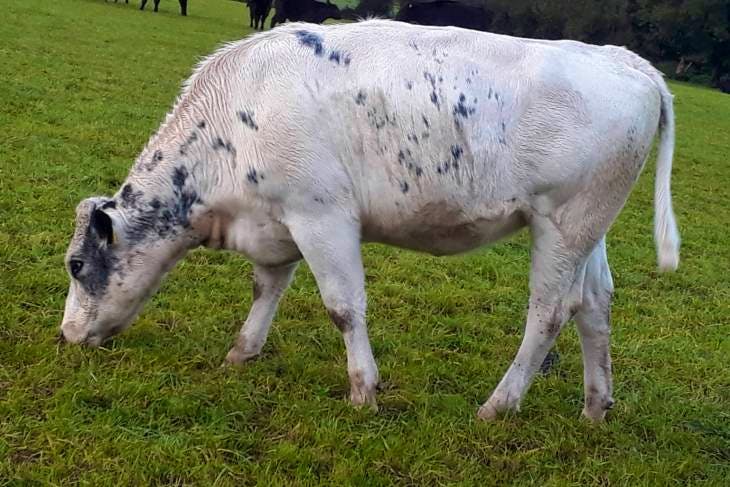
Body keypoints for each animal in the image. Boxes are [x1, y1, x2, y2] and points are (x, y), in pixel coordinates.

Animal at [59, 20, 680, 424]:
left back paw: (498, 406)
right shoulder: (278, 221)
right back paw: (595, 408)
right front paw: (242, 352)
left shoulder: (322, 215)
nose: (66, 335)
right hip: (588, 229)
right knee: (595, 305)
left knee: (550, 312)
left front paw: (364, 391)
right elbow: (267, 287)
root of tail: (626, 60)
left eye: (76, 264)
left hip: (562, 223)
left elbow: (343, 307)